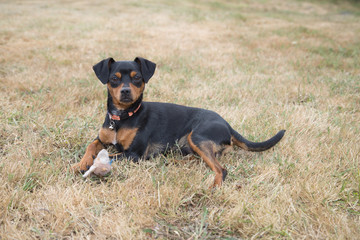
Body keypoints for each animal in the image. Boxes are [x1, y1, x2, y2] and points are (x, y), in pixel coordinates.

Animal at [73, 56, 286, 188]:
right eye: (114, 79)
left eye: (138, 78)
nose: (125, 91)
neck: (123, 117)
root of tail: (227, 124)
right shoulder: (102, 138)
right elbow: (92, 146)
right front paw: (82, 162)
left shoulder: (134, 154)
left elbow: (106, 156)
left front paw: (85, 165)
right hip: (190, 144)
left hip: (197, 136)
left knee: (221, 169)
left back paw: (214, 187)